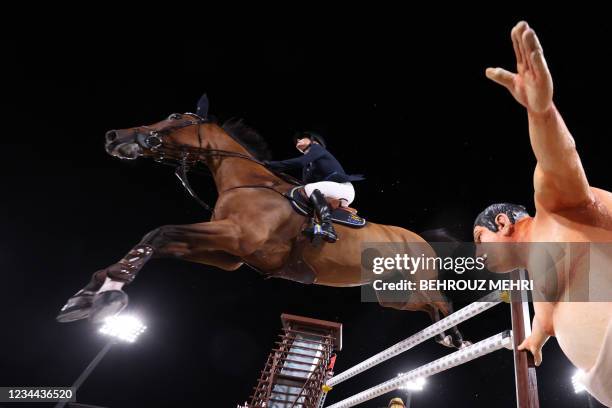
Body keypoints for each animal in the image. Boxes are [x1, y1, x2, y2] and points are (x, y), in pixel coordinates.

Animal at [57, 95, 468, 348]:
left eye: (175, 117)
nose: (114, 136)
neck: (246, 182)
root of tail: (422, 239)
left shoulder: (235, 237)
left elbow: (159, 232)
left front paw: (104, 292)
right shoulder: (229, 254)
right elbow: (157, 238)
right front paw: (91, 295)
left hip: (413, 282)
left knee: (442, 301)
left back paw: (456, 338)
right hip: (392, 294)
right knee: (429, 307)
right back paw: (445, 336)